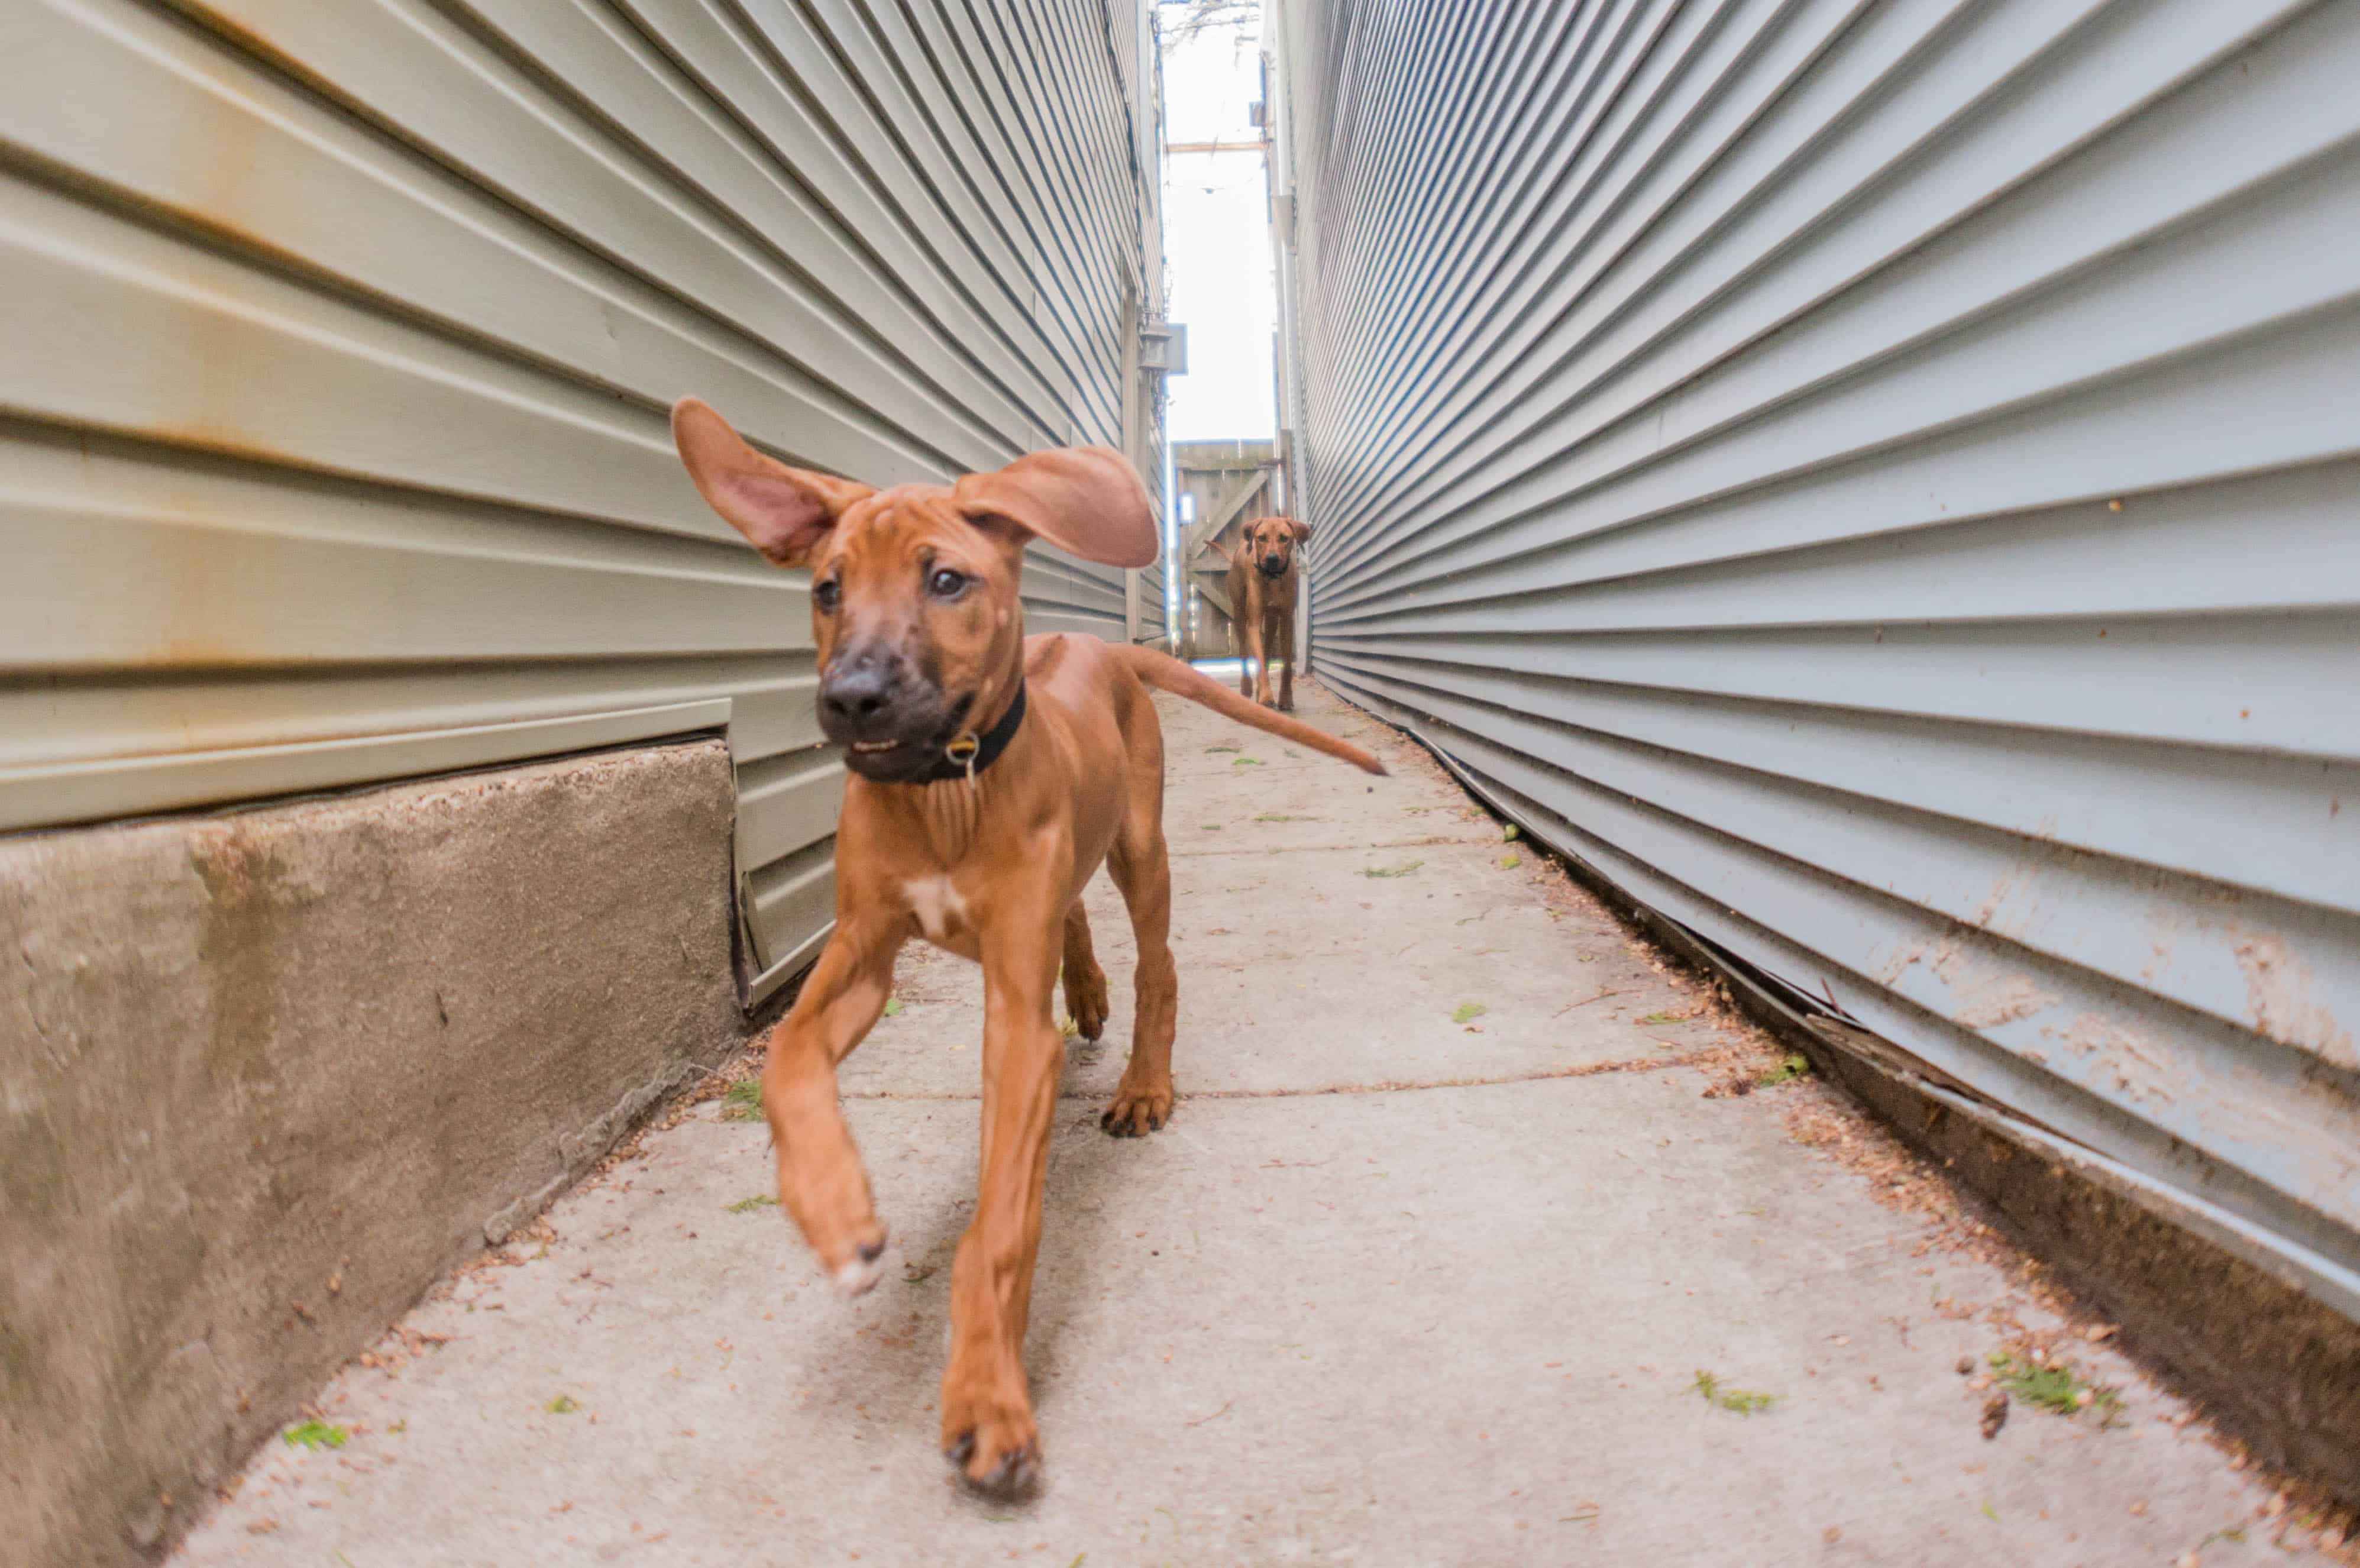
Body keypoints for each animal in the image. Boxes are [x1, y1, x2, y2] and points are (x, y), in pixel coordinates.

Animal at [1236, 515, 1312, 708]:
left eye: (1284, 538)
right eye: (1261, 538)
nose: (1272, 558)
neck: (1272, 578)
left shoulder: (1286, 621)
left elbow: (1286, 666)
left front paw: (1285, 698)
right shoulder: (1254, 625)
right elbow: (1260, 663)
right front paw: (1265, 697)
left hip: (1272, 621)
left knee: (1268, 644)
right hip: (1238, 613)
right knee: (1244, 649)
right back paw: (1247, 687)